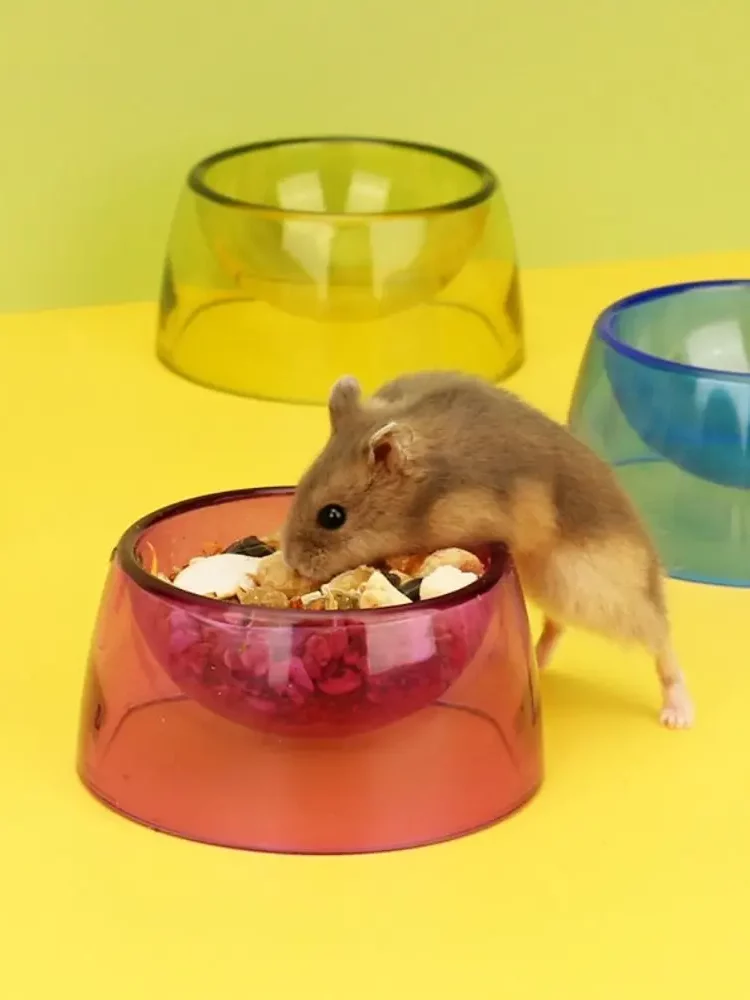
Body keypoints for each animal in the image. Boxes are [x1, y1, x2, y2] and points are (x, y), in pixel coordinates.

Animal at [282, 371, 694, 729]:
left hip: (596, 594)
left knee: (661, 638)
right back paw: (535, 664)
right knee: (557, 626)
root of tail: (652, 570)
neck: (424, 494)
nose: (292, 563)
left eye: (332, 516)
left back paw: (679, 715)